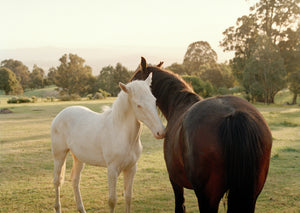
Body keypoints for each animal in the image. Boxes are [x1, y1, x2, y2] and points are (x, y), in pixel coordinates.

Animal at [50, 73, 165, 213]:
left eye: (154, 101)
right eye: (139, 105)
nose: (161, 132)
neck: (120, 133)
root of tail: (60, 115)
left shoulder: (131, 168)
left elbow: (128, 197)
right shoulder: (112, 170)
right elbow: (112, 200)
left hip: (78, 158)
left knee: (75, 180)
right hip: (59, 156)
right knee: (57, 181)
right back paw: (58, 207)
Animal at [131, 57, 272, 212]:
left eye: (135, 80)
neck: (177, 105)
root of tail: (233, 114)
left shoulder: (175, 180)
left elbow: (180, 205)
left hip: (208, 197)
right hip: (251, 195)